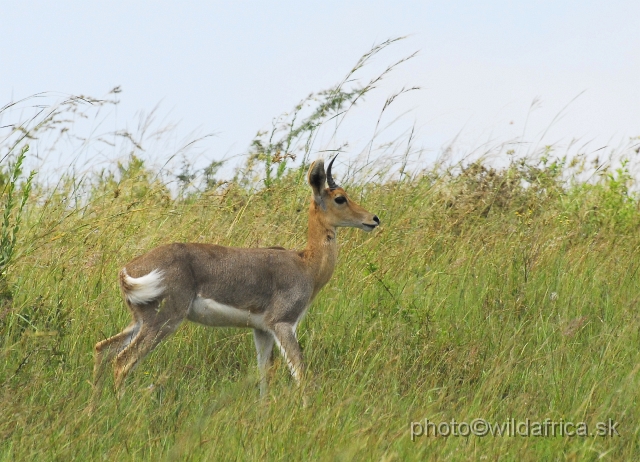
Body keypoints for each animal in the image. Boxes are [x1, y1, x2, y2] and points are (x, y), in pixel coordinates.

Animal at [90, 155, 380, 404]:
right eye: (340, 198)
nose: (373, 219)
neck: (305, 263)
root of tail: (128, 270)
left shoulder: (262, 330)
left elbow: (264, 375)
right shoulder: (283, 324)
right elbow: (301, 373)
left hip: (139, 322)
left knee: (102, 349)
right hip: (164, 321)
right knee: (122, 362)